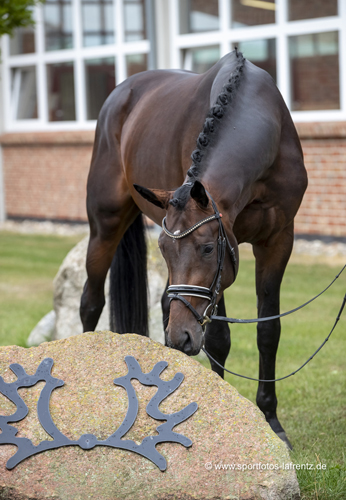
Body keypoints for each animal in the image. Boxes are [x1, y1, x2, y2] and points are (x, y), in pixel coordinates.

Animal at [79, 51, 306, 450]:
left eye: (206, 248)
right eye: (165, 249)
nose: (181, 336)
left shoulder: (278, 240)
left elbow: (268, 331)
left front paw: (272, 421)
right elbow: (218, 337)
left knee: (165, 305)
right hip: (104, 226)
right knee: (91, 302)